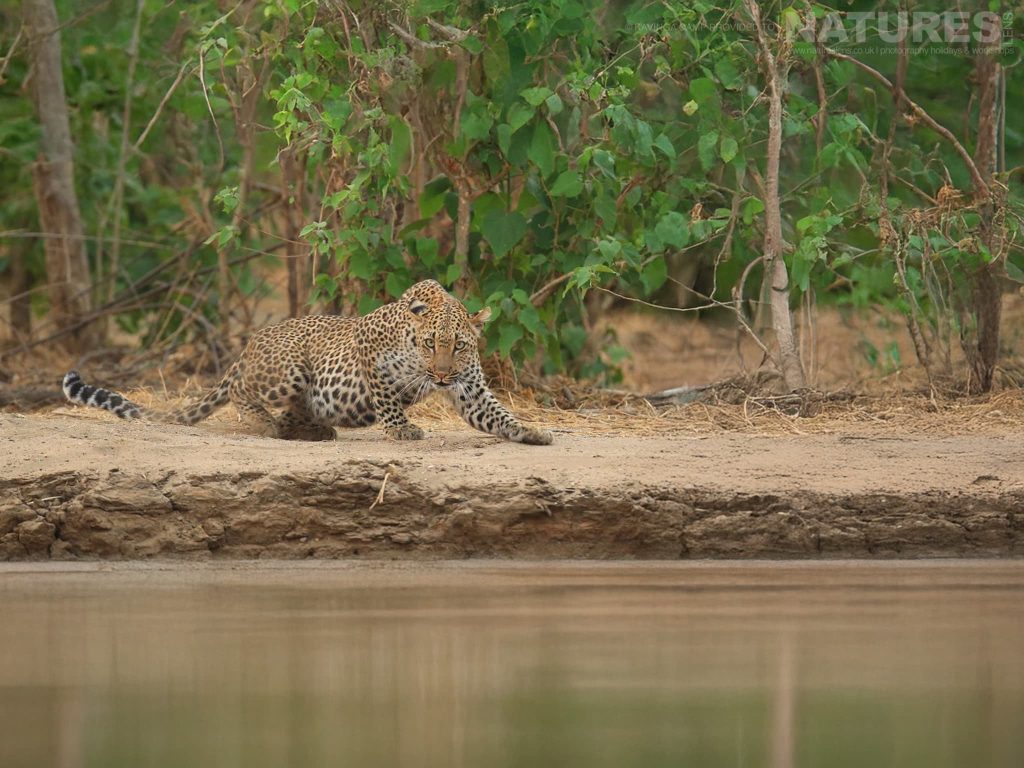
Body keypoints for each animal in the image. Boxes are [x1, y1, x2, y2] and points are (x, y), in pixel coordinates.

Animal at [62, 279, 553, 445]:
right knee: (241, 391)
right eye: (431, 343)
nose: (441, 375)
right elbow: (387, 397)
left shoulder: (470, 389)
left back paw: (311, 430)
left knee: (294, 415)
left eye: (460, 346)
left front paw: (531, 431)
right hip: (288, 369)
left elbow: (496, 414)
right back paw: (264, 423)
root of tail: (251, 344)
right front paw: (401, 429)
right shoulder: (368, 348)